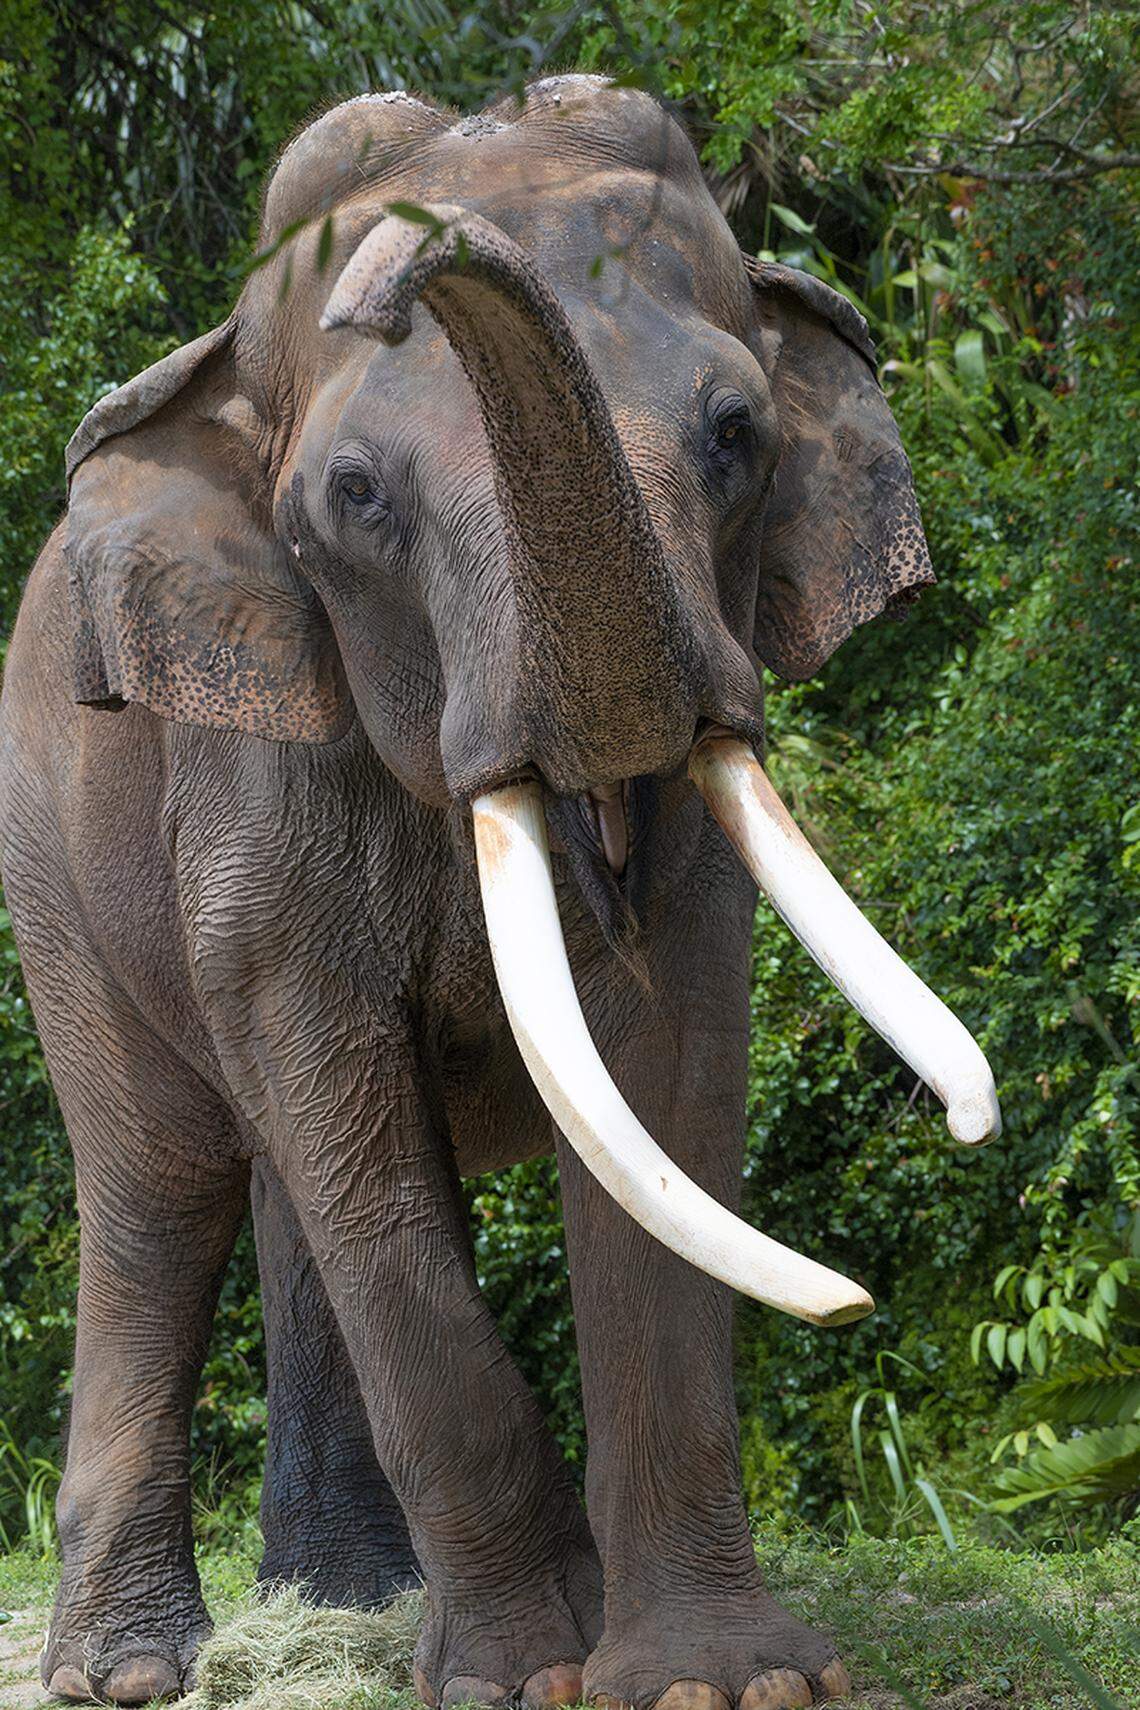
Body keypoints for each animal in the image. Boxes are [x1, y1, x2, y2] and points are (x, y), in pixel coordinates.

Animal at [0, 75, 1000, 1710]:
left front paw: (715, 1681)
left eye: (737, 433)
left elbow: (663, 1067)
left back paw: (350, 1603)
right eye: (354, 497)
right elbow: (334, 1085)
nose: (405, 259)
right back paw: (140, 1667)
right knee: (162, 1183)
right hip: (55, 884)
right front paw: (521, 1676)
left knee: (294, 1201)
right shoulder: (256, 776)